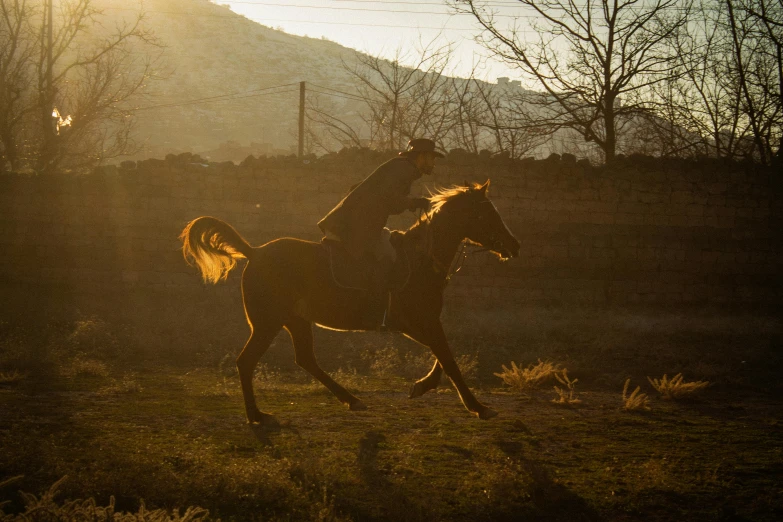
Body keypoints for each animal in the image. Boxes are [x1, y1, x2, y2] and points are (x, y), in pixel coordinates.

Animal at [179, 179, 520, 422]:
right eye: (486, 213)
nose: (514, 246)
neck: (421, 259)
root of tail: (255, 252)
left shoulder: (415, 323)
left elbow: (444, 356)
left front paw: (422, 386)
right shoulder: (420, 321)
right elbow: (449, 360)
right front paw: (478, 407)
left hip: (295, 320)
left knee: (306, 360)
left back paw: (352, 400)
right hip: (267, 323)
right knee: (247, 361)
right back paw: (256, 416)